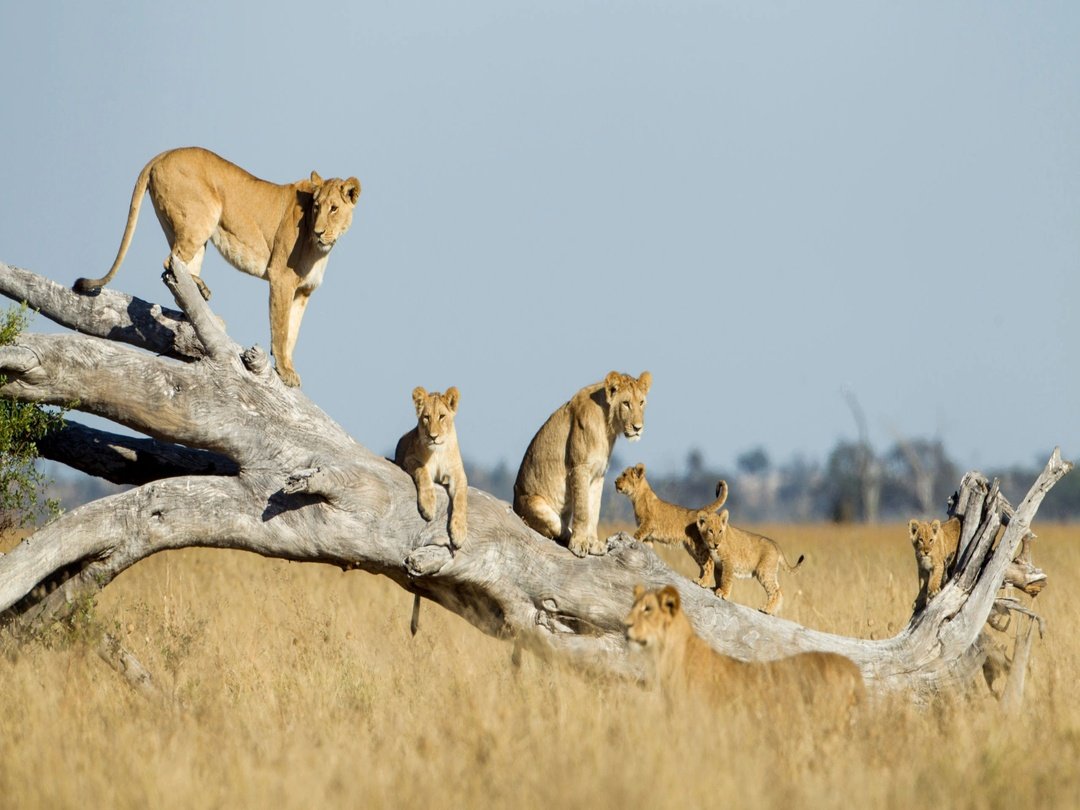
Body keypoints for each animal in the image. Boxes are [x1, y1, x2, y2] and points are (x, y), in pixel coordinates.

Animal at [74, 147, 361, 387]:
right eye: (317, 207)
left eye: (333, 208)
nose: (319, 231)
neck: (322, 250)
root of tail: (165, 153)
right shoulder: (281, 277)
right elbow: (280, 329)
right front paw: (284, 372)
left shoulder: (303, 292)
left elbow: (292, 333)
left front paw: (289, 368)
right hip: (201, 217)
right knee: (170, 261)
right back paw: (201, 292)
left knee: (177, 267)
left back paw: (200, 295)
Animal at [394, 387, 468, 549]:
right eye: (426, 417)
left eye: (442, 416)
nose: (433, 436)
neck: (438, 451)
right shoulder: (410, 459)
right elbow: (423, 472)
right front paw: (428, 505)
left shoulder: (458, 472)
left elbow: (461, 498)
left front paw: (459, 532)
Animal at [513, 371, 651, 557]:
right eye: (626, 403)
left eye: (641, 402)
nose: (638, 428)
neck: (607, 427)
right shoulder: (579, 468)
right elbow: (583, 510)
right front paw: (579, 543)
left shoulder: (598, 474)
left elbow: (594, 511)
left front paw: (593, 543)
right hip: (535, 505)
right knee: (558, 529)